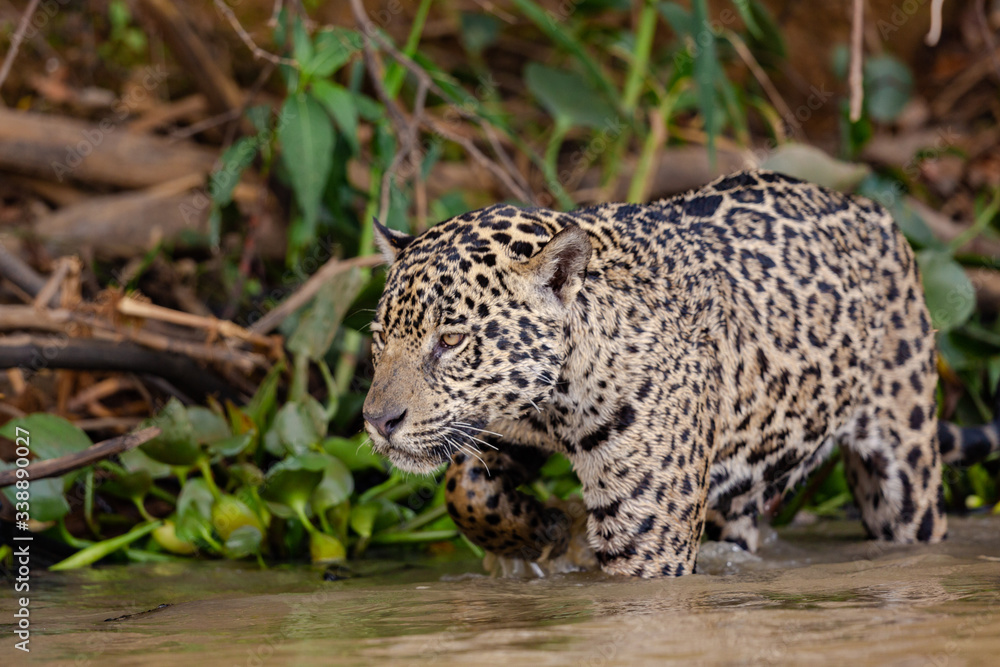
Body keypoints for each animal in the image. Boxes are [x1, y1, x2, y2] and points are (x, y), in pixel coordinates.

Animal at [362, 170, 1000, 578]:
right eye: (379, 340)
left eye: (451, 340)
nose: (377, 422)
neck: (553, 403)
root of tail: (874, 210)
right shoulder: (501, 428)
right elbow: (464, 488)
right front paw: (546, 528)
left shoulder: (647, 539)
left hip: (904, 463)